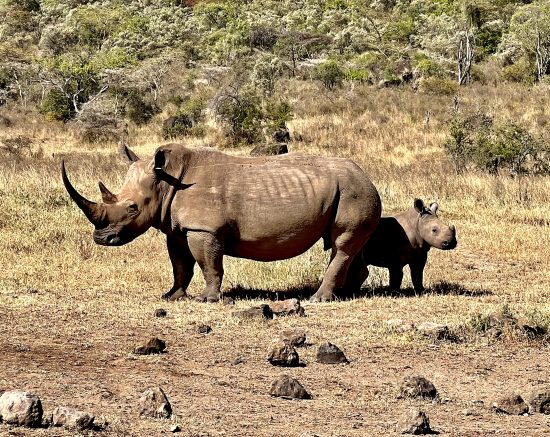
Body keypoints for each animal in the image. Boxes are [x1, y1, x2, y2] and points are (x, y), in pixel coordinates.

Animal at [62, 143, 382, 300]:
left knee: (341, 244)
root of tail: (367, 175)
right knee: (347, 247)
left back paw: (319, 298)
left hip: (355, 191)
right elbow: (180, 266)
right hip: (351, 190)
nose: (101, 239)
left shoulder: (204, 229)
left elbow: (208, 264)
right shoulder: (177, 229)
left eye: (132, 208)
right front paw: (172, 297)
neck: (165, 183)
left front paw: (208, 299)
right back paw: (347, 293)